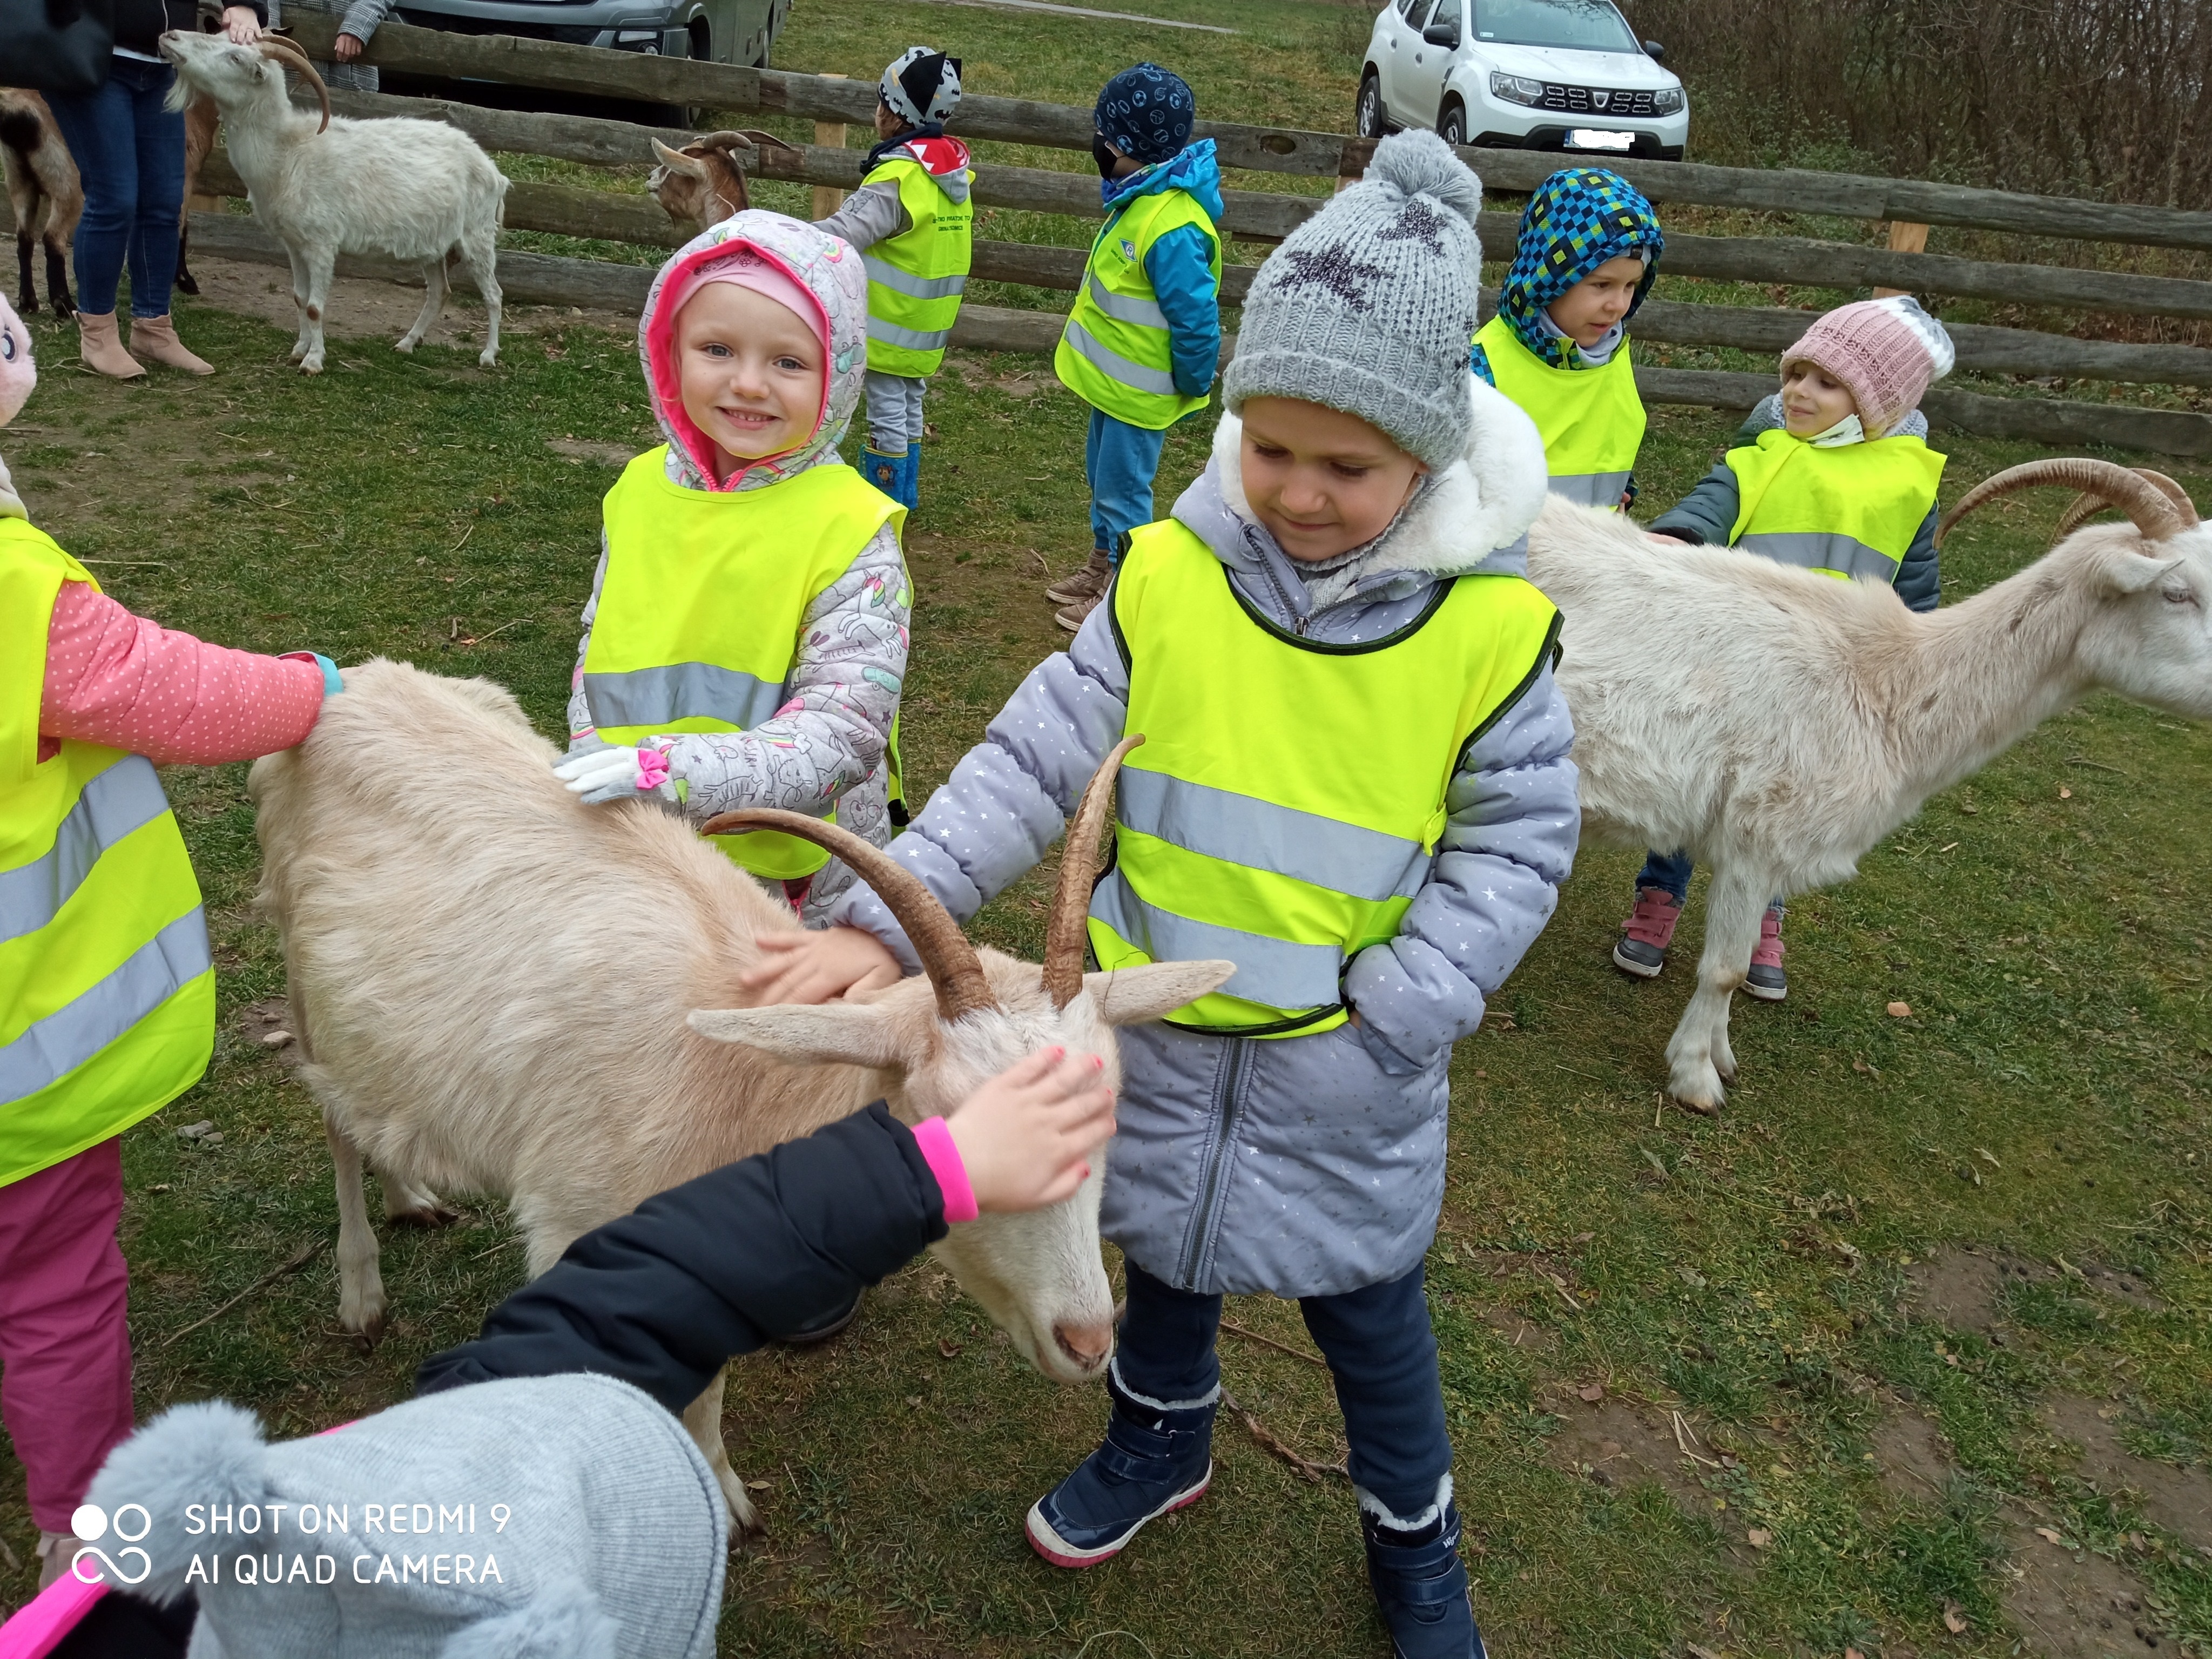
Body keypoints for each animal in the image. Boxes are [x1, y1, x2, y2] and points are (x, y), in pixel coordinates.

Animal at [1, 90, 80, 320]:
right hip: (67, 185)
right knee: (53, 239)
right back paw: (64, 305)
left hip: (19, 183)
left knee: (25, 239)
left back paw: (28, 302)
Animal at [158, 30, 506, 374]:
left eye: (236, 57)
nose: (170, 36)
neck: (288, 152)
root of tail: (492, 168)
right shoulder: (294, 244)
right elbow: (299, 298)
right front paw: (298, 350)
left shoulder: (321, 243)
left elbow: (314, 307)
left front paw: (313, 362)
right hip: (434, 243)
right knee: (439, 292)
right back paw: (407, 343)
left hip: (477, 236)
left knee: (493, 294)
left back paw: (488, 355)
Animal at [254, 659, 1247, 1530]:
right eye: (955, 1131)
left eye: (1104, 1125)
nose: (1086, 1342)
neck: (737, 1071)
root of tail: (352, 684)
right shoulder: (579, 1224)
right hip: (305, 979)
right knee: (331, 1112)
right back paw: (361, 1288)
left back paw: (408, 1190)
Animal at [1530, 457, 2212, 1119]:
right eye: (2176, 593)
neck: (1887, 682)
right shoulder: (1760, 833)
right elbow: (1725, 969)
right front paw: (1696, 1080)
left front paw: (1721, 1056)